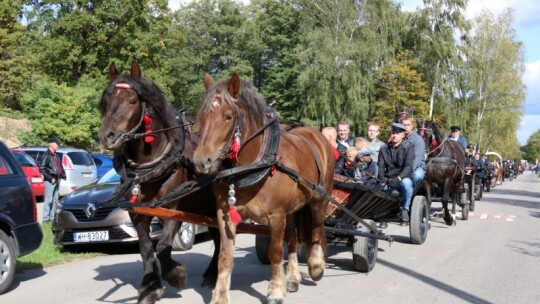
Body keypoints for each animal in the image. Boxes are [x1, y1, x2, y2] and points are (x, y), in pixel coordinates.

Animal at [99, 61, 219, 304]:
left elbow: (163, 245)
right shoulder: (138, 213)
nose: (107, 136)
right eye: (106, 101)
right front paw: (150, 287)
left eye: (132, 101)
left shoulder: (174, 209)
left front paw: (176, 275)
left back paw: (213, 274)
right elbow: (146, 248)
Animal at [190, 73, 334, 304]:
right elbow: (225, 256)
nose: (202, 161)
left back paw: (316, 267)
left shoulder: (276, 215)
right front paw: (220, 296)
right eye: (202, 116)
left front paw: (275, 291)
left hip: (320, 199)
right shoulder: (225, 215)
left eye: (228, 116)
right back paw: (292, 277)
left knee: (316, 230)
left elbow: (275, 252)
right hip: (292, 209)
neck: (254, 165)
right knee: (292, 238)